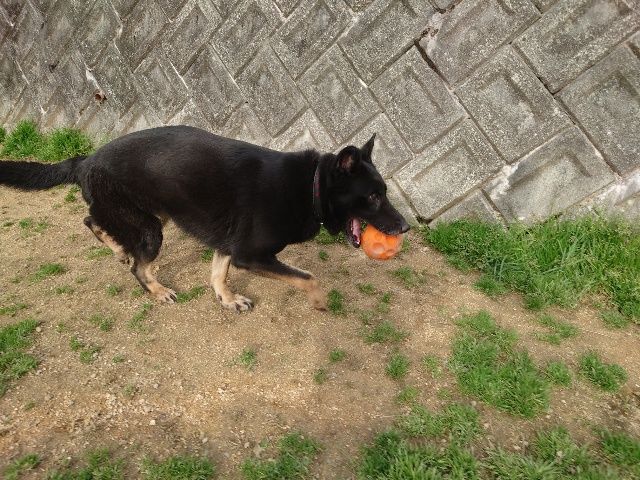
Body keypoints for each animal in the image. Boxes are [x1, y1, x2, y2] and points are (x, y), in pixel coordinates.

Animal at [0, 125, 410, 312]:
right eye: (373, 196)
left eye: (384, 191)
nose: (406, 227)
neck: (310, 186)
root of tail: (86, 160)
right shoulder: (251, 255)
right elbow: (307, 276)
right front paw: (321, 300)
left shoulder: (229, 244)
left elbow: (218, 272)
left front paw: (226, 298)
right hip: (150, 228)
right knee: (137, 265)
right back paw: (155, 288)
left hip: (152, 216)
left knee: (92, 222)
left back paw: (117, 249)